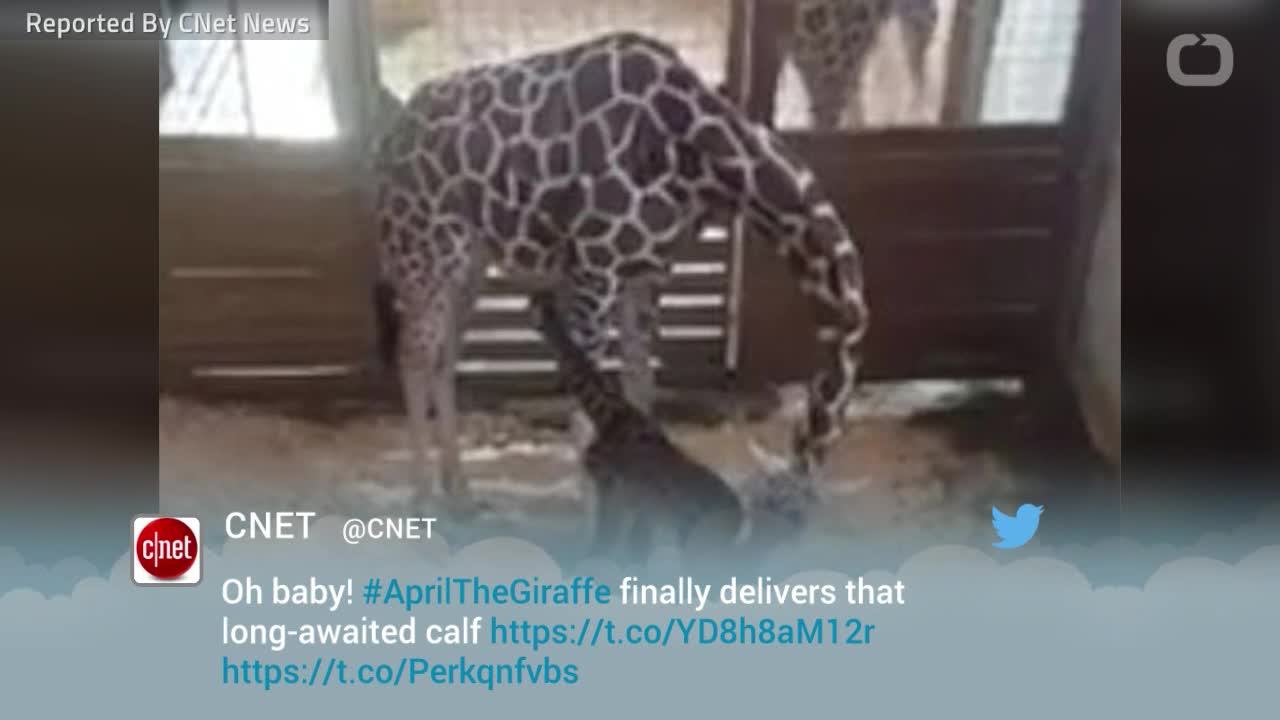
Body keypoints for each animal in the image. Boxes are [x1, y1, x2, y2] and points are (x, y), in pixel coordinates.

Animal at [371, 32, 869, 503]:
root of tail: (390, 138)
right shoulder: (594, 269)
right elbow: (586, 407)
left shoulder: (645, 273)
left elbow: (640, 385)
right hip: (423, 255)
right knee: (412, 357)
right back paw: (424, 501)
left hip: (466, 266)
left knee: (443, 358)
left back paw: (459, 490)